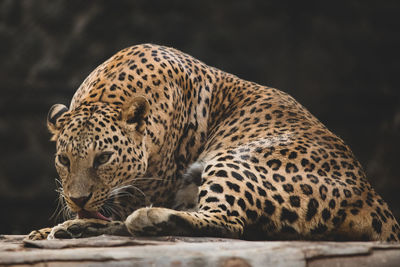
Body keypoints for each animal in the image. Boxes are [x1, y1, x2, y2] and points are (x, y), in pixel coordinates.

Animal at [26, 43, 398, 243]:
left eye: (103, 158)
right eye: (63, 160)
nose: (78, 200)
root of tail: (372, 198)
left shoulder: (157, 185)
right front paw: (57, 224)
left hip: (232, 162)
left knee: (228, 222)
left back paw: (142, 219)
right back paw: (72, 228)